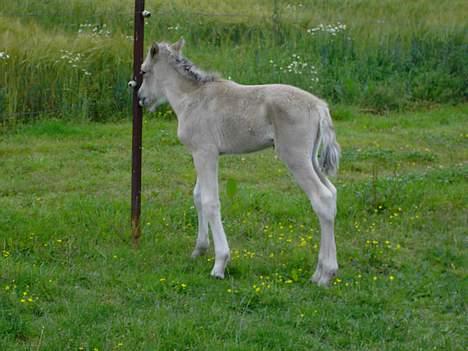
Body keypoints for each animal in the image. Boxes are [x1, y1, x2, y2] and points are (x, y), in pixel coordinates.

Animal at [138, 39, 340, 286]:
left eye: (143, 71)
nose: (140, 98)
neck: (192, 98)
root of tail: (320, 106)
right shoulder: (202, 153)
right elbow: (198, 196)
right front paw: (199, 249)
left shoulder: (205, 152)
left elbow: (210, 201)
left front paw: (220, 264)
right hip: (310, 158)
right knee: (332, 194)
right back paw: (318, 272)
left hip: (295, 157)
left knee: (322, 198)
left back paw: (326, 275)